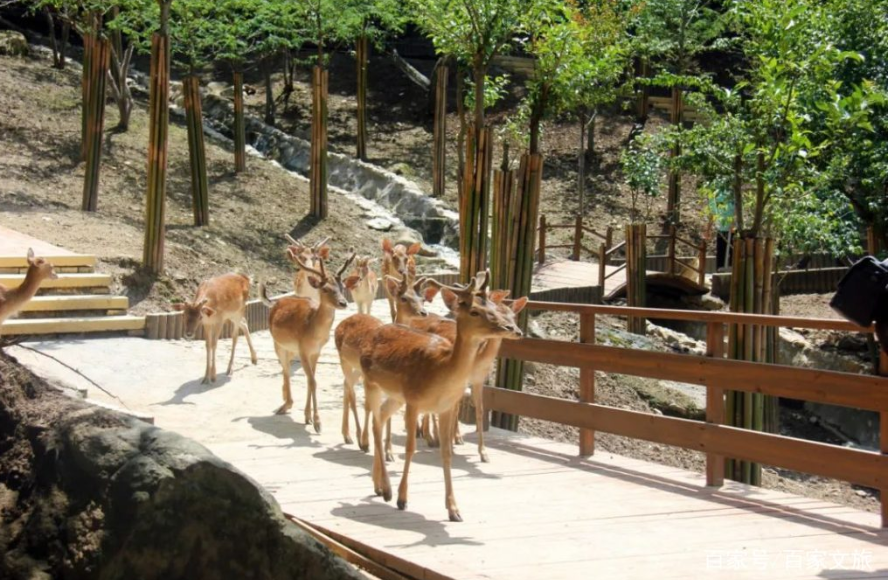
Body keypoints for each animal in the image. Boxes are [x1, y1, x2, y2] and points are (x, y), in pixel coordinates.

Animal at [261, 251, 356, 428]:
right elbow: (313, 381)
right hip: (278, 343)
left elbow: (310, 379)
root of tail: (277, 302)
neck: (313, 331)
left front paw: (308, 416)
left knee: (288, 368)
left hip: (292, 349)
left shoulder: (316, 351)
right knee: (285, 369)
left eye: (342, 287)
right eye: (325, 289)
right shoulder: (303, 349)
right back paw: (285, 405)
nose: (343, 303)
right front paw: (317, 422)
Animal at [335, 275, 439, 451]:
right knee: (351, 392)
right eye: (403, 298)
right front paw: (366, 442)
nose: (423, 312)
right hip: (344, 360)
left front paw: (388, 450)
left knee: (346, 385)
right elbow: (370, 406)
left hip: (357, 369)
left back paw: (346, 435)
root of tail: (341, 323)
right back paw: (354, 437)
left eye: (423, 299)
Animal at [360, 274, 525, 522]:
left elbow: (446, 453)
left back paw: (377, 485)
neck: (440, 369)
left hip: (396, 396)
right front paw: (402, 499)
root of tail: (374, 332)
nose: (509, 328)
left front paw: (454, 510)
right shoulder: (414, 400)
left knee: (379, 417)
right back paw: (387, 490)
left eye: (493, 308)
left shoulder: (445, 407)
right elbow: (410, 448)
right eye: (474, 311)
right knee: (376, 422)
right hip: (372, 383)